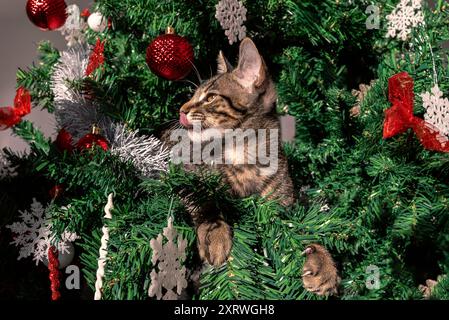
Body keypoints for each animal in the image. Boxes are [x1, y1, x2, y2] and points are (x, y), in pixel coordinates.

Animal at [161, 38, 340, 296]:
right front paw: (214, 232)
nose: (181, 110)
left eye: (210, 97)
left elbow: (298, 228)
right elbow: (203, 198)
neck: (241, 152)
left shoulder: (282, 206)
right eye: (193, 95)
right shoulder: (183, 172)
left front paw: (321, 262)